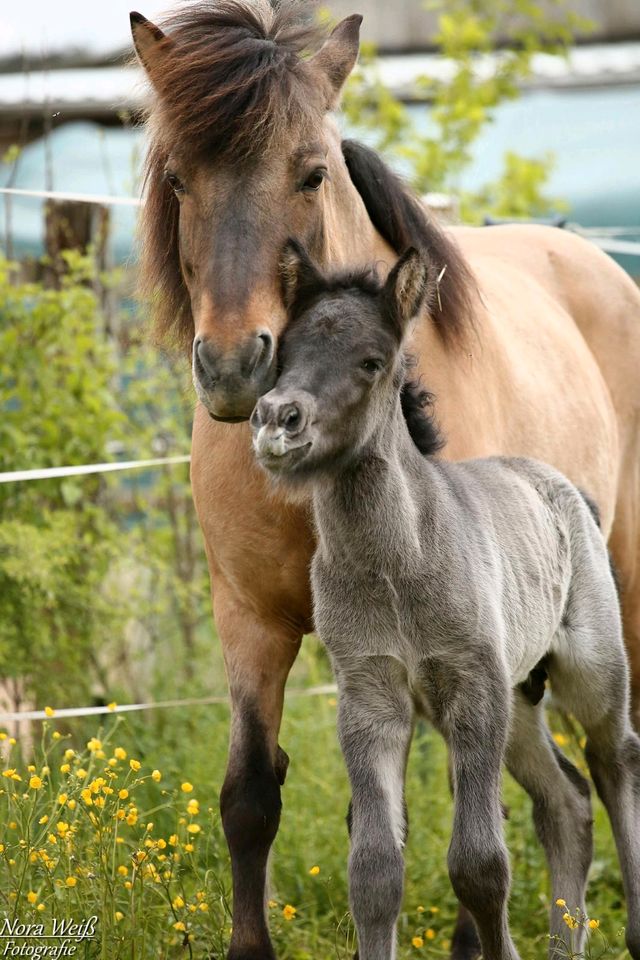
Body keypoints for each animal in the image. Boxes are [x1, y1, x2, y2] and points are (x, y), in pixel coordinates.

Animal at [249, 244, 640, 960]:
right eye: (283, 354)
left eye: (372, 361)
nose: (276, 422)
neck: (398, 566)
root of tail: (570, 490)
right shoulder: (372, 695)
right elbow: (375, 868)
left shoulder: (471, 685)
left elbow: (479, 862)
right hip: (517, 699)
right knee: (566, 801)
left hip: (587, 669)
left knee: (613, 759)